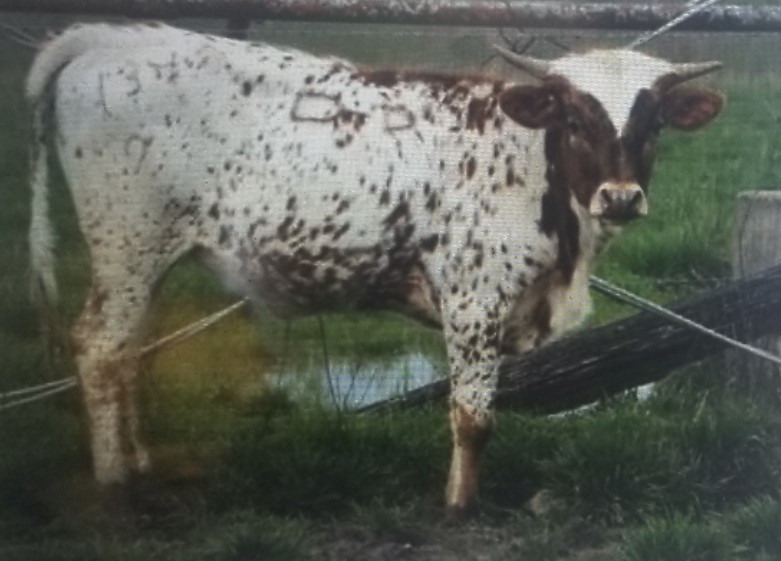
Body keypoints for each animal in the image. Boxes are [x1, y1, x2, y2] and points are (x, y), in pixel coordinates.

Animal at [26, 23, 723, 519]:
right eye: (575, 118)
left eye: (652, 122)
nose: (621, 197)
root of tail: (110, 38)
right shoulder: (474, 301)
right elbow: (473, 418)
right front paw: (460, 507)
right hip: (127, 245)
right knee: (101, 350)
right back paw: (117, 484)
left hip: (145, 259)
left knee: (126, 352)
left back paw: (139, 463)